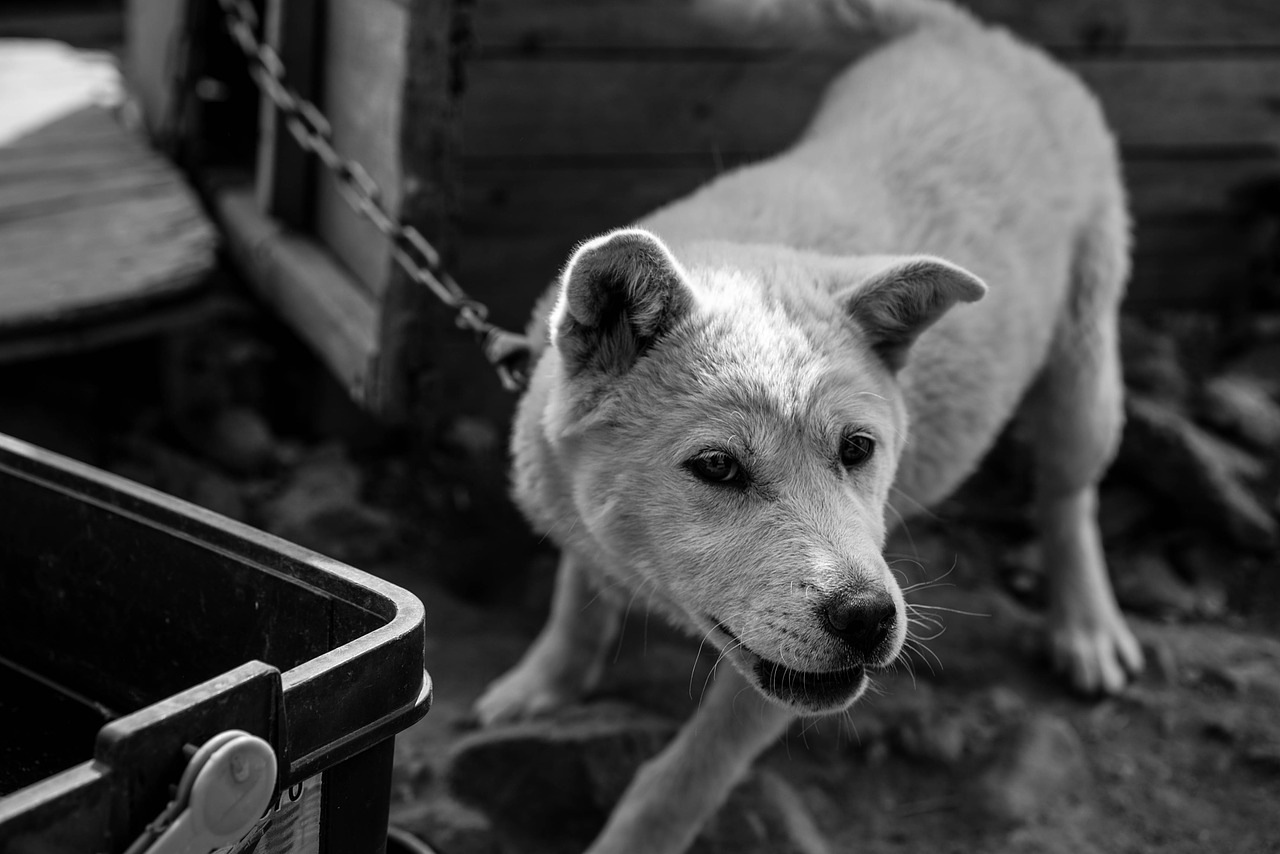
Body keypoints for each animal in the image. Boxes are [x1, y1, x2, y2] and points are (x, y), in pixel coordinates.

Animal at [476, 3, 1146, 850]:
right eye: (717, 467)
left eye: (859, 450)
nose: (868, 620)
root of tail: (971, 33)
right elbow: (579, 593)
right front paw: (544, 683)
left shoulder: (771, 680)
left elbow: (682, 780)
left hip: (1085, 357)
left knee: (1069, 494)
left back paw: (1087, 628)